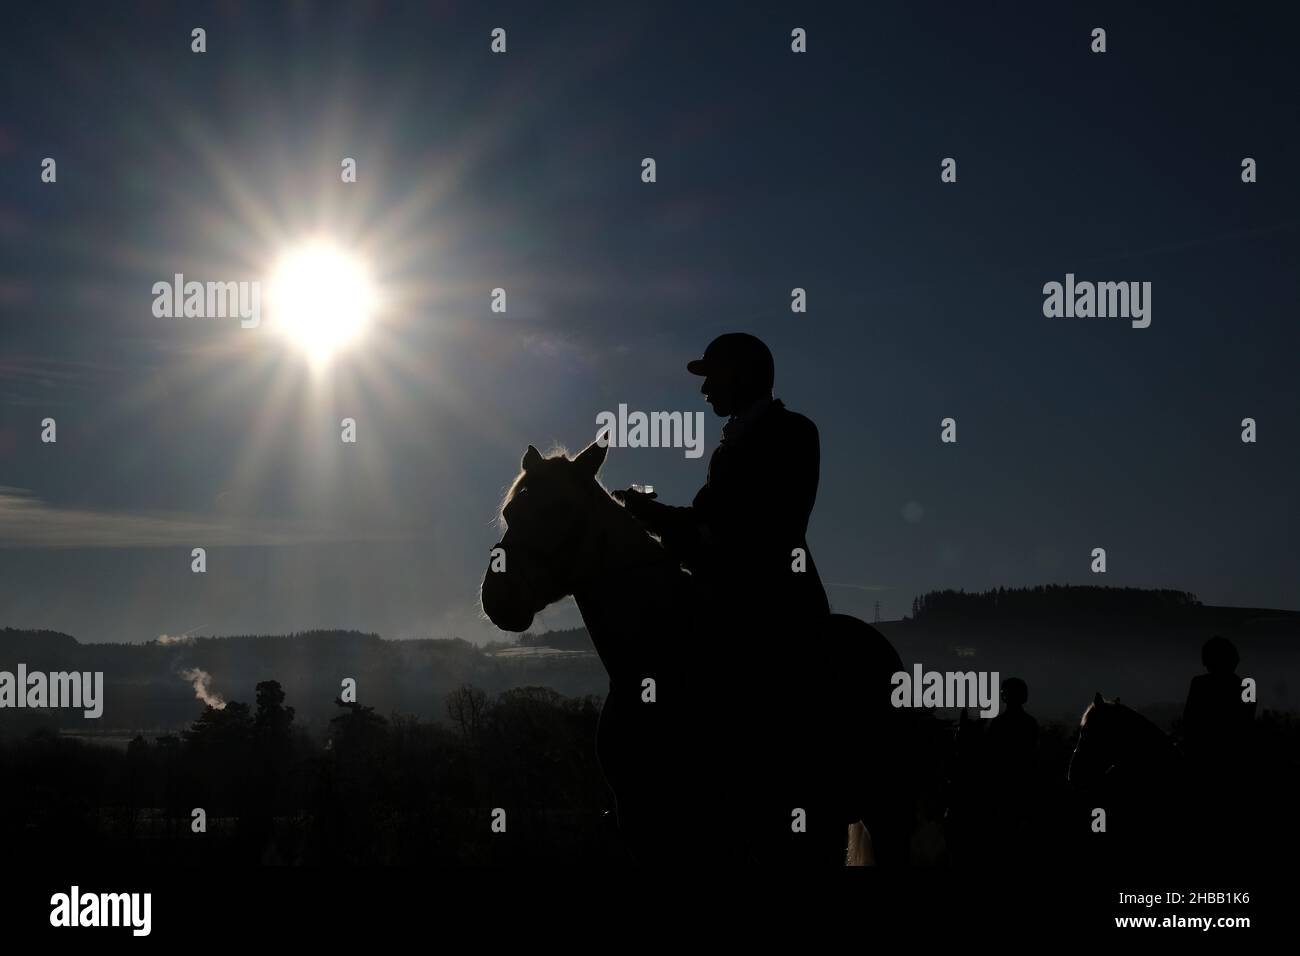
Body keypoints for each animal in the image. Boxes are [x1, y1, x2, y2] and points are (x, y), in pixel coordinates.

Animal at [480, 442, 915, 868]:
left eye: (561, 508)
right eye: (510, 512)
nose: (498, 598)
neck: (660, 663)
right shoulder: (645, 832)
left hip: (879, 812)